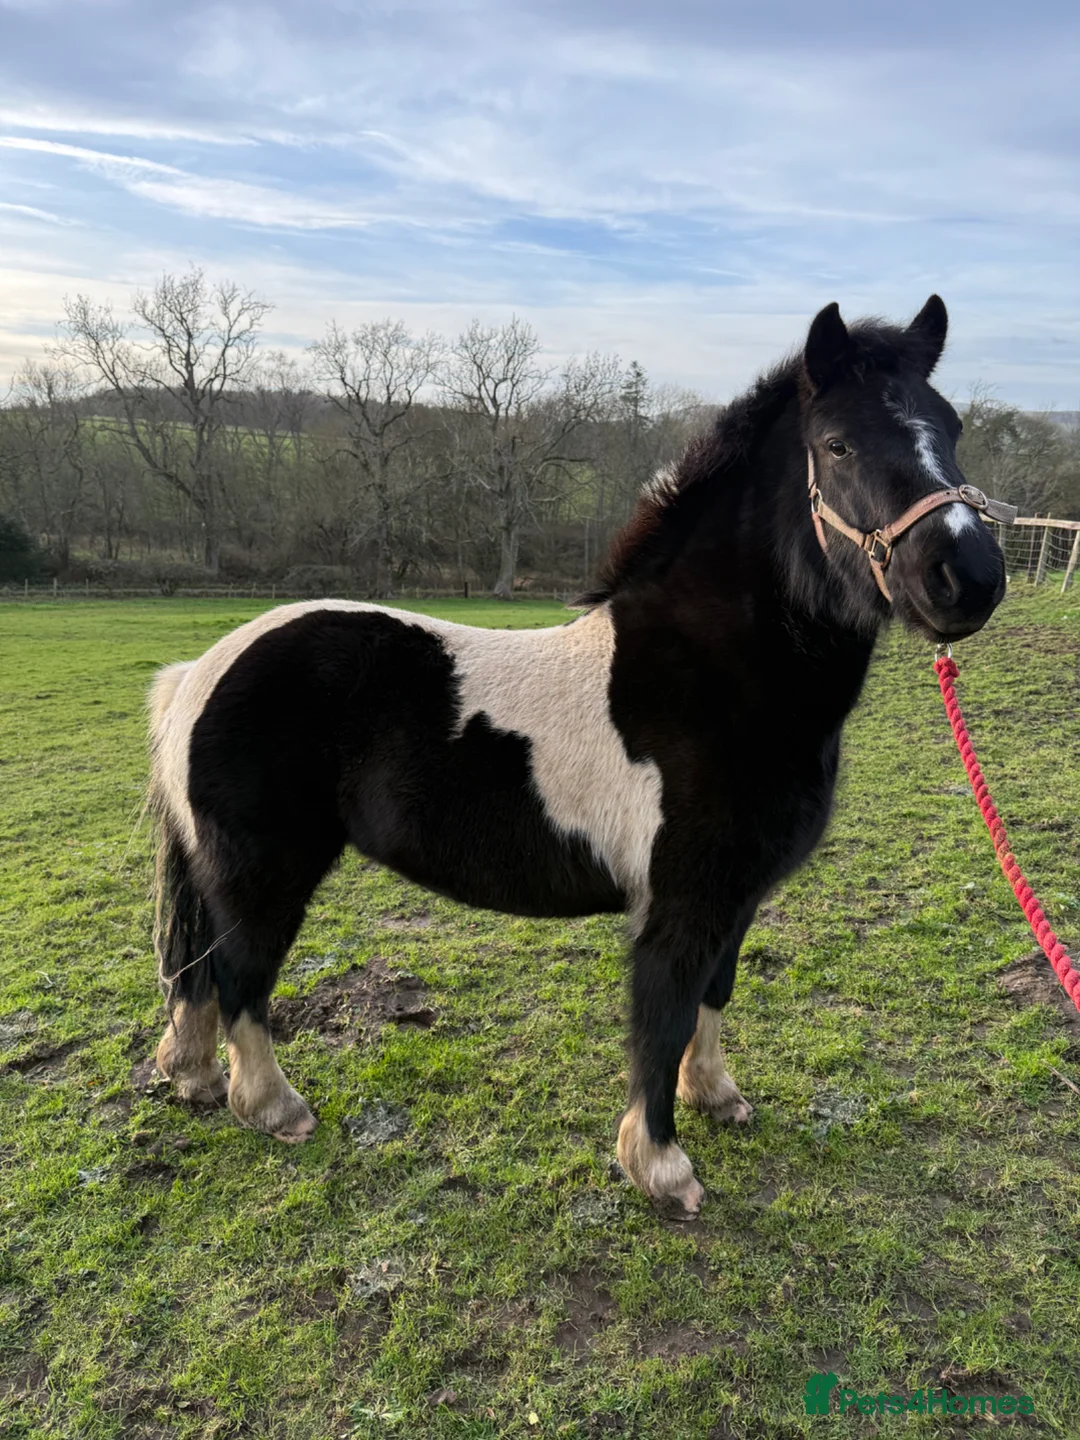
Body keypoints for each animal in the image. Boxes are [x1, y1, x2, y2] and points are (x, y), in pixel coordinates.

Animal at [148, 296, 1007, 1219]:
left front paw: (717, 1096)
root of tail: (197, 672)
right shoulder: (678, 902)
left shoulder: (735, 896)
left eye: (951, 427)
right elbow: (663, 1016)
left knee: (199, 976)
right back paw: (274, 1108)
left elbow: (714, 993)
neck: (708, 673)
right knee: (240, 976)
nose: (967, 577)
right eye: (839, 444)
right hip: (265, 872)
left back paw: (194, 1079)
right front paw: (661, 1168)